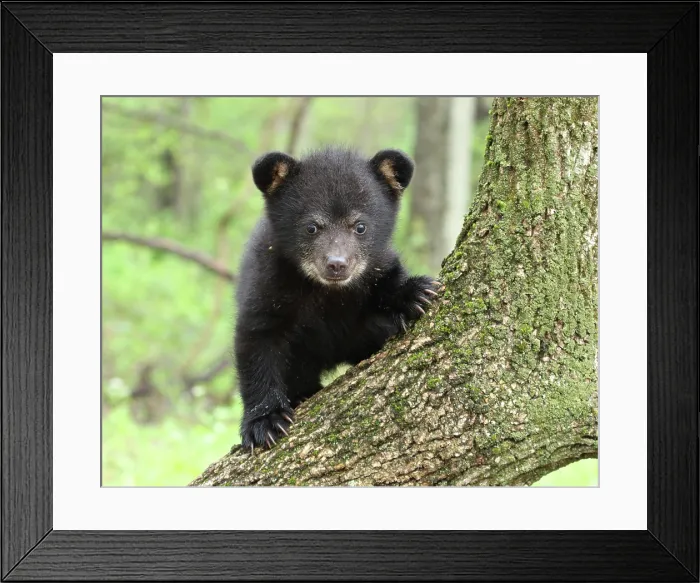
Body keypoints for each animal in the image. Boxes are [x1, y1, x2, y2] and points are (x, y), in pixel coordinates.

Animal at [234, 146, 440, 451]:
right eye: (311, 227)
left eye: (360, 226)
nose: (336, 264)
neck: (328, 293)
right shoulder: (268, 283)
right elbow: (257, 341)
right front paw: (265, 422)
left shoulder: (375, 268)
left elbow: (387, 280)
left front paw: (415, 292)